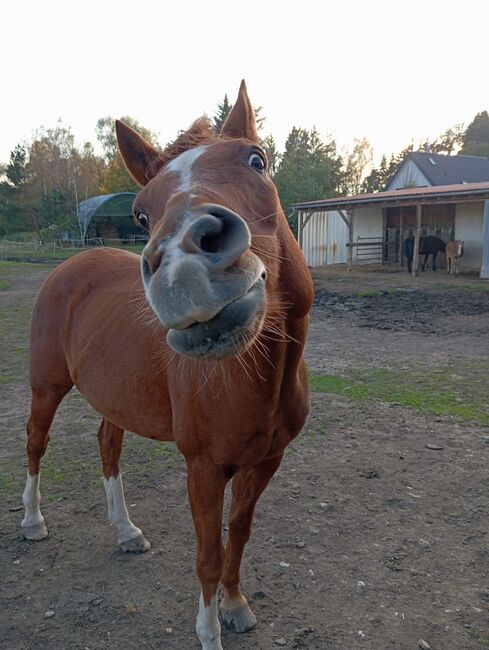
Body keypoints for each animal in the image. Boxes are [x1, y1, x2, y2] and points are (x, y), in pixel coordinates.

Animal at [21, 82, 312, 648]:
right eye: (140, 213)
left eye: (257, 159)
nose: (182, 264)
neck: (257, 379)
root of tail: (71, 265)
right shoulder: (203, 469)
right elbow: (208, 556)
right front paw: (210, 631)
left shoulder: (267, 461)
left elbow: (239, 535)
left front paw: (236, 605)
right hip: (46, 387)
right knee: (35, 444)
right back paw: (32, 521)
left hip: (115, 396)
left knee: (107, 447)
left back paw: (126, 530)